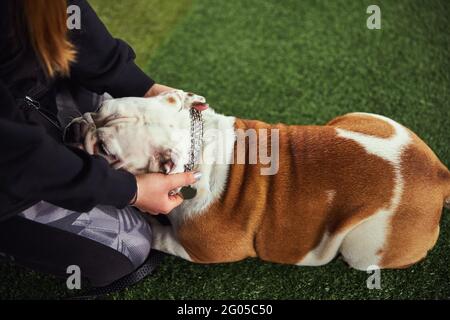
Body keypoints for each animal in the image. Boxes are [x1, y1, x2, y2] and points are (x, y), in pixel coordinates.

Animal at [65, 89, 448, 270]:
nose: (77, 127)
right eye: (99, 109)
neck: (198, 144)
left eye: (105, 150)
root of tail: (439, 175)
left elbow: (159, 235)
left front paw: (147, 219)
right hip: (362, 117)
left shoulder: (203, 248)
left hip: (364, 247)